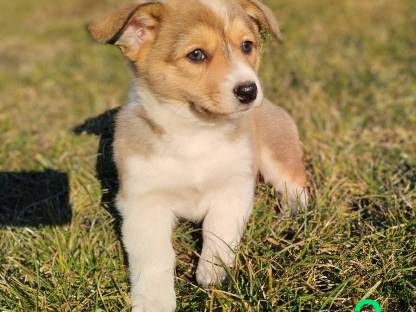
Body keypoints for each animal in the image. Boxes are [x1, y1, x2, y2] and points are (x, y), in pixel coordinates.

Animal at [88, 1, 308, 310]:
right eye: (196, 54)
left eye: (247, 45)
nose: (249, 90)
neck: (195, 132)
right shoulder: (142, 204)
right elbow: (154, 257)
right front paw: (155, 301)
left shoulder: (233, 188)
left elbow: (218, 229)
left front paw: (212, 272)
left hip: (277, 154)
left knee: (295, 182)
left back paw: (292, 212)